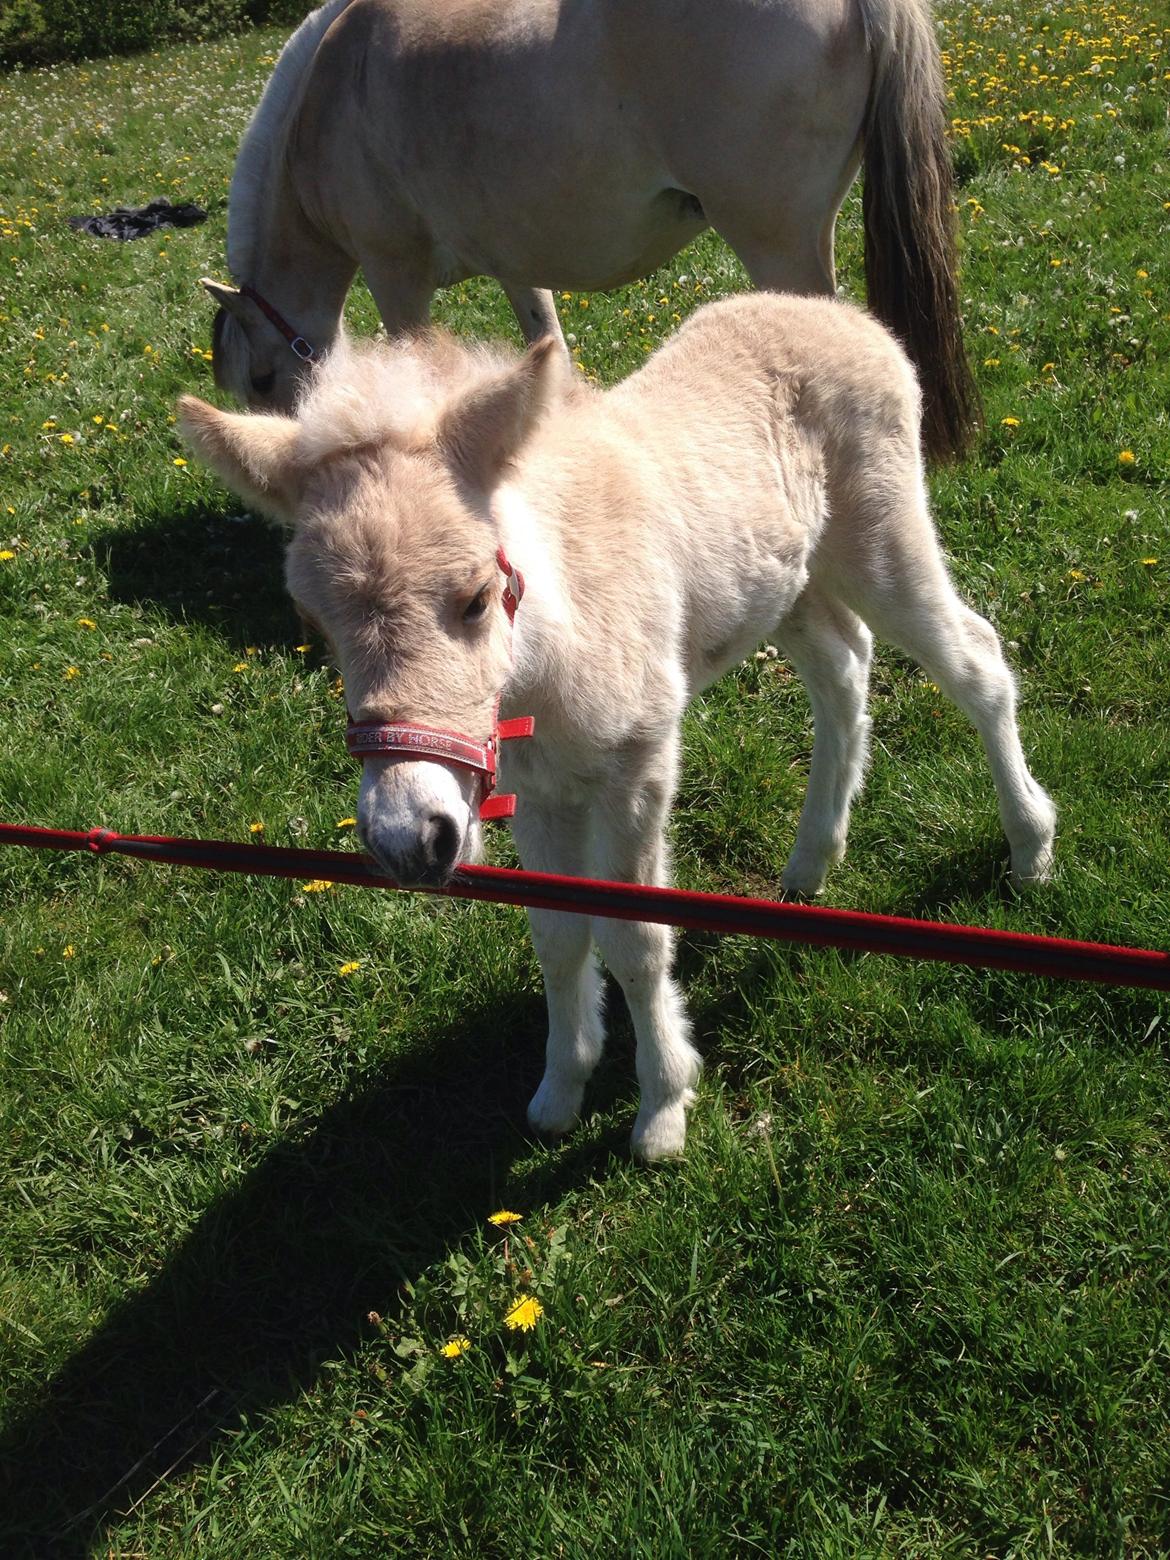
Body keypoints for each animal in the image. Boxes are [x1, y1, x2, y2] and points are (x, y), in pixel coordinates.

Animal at [178, 294, 1060, 1160]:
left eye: (474, 597)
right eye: (314, 623)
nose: (409, 840)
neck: (548, 647)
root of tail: (844, 315)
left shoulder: (636, 768)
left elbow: (634, 936)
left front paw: (663, 1108)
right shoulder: (539, 792)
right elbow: (561, 934)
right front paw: (560, 1089)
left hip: (881, 540)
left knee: (976, 661)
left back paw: (1030, 847)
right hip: (785, 584)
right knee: (844, 665)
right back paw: (812, 861)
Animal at [209, 0, 979, 461]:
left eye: (264, 378)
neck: (330, 93)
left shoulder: (395, 275)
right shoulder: (514, 259)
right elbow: (545, 339)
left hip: (777, 244)